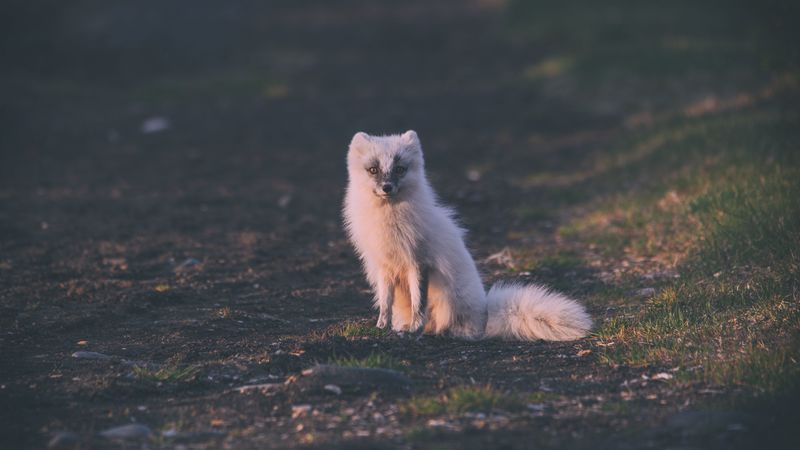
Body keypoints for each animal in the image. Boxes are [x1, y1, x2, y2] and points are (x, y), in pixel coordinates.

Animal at [343, 130, 592, 341]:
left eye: (400, 169)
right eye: (373, 170)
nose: (387, 187)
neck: (388, 222)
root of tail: (486, 315)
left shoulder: (419, 262)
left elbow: (418, 304)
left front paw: (414, 330)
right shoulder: (384, 266)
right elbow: (385, 302)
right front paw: (381, 327)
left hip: (450, 302)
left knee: (456, 327)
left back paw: (444, 332)